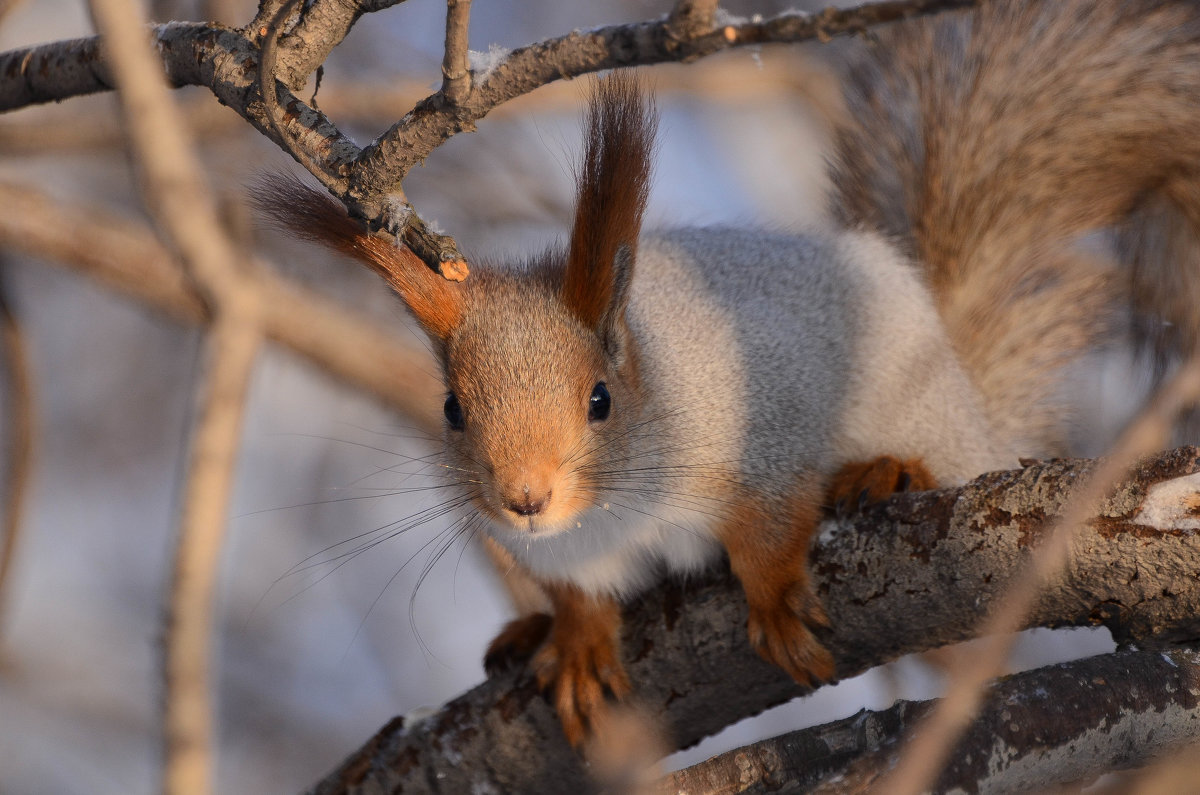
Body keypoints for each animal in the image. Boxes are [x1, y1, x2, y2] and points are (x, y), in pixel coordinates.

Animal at [258, 0, 1200, 749]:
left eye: (600, 399)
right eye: (453, 409)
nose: (524, 498)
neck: (612, 509)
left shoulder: (760, 440)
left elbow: (770, 530)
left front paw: (776, 598)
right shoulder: (552, 547)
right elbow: (576, 590)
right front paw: (576, 636)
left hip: (925, 410)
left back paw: (889, 469)